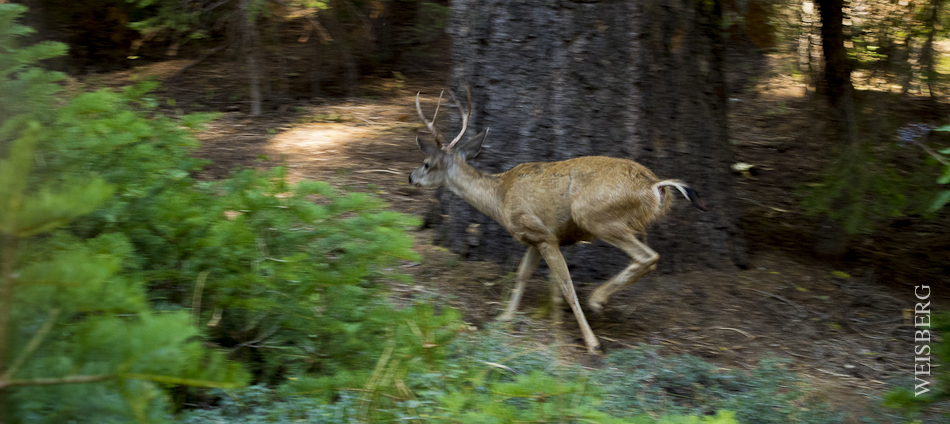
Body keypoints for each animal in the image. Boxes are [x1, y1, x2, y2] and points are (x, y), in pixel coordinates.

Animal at [406, 89, 712, 354]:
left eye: (426, 163)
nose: (410, 177)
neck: (500, 198)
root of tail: (655, 186)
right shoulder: (533, 239)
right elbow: (523, 274)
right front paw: (504, 317)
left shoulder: (543, 233)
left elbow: (567, 286)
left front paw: (592, 342)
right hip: (623, 223)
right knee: (648, 258)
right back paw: (601, 300)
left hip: (596, 216)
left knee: (648, 256)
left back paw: (597, 300)